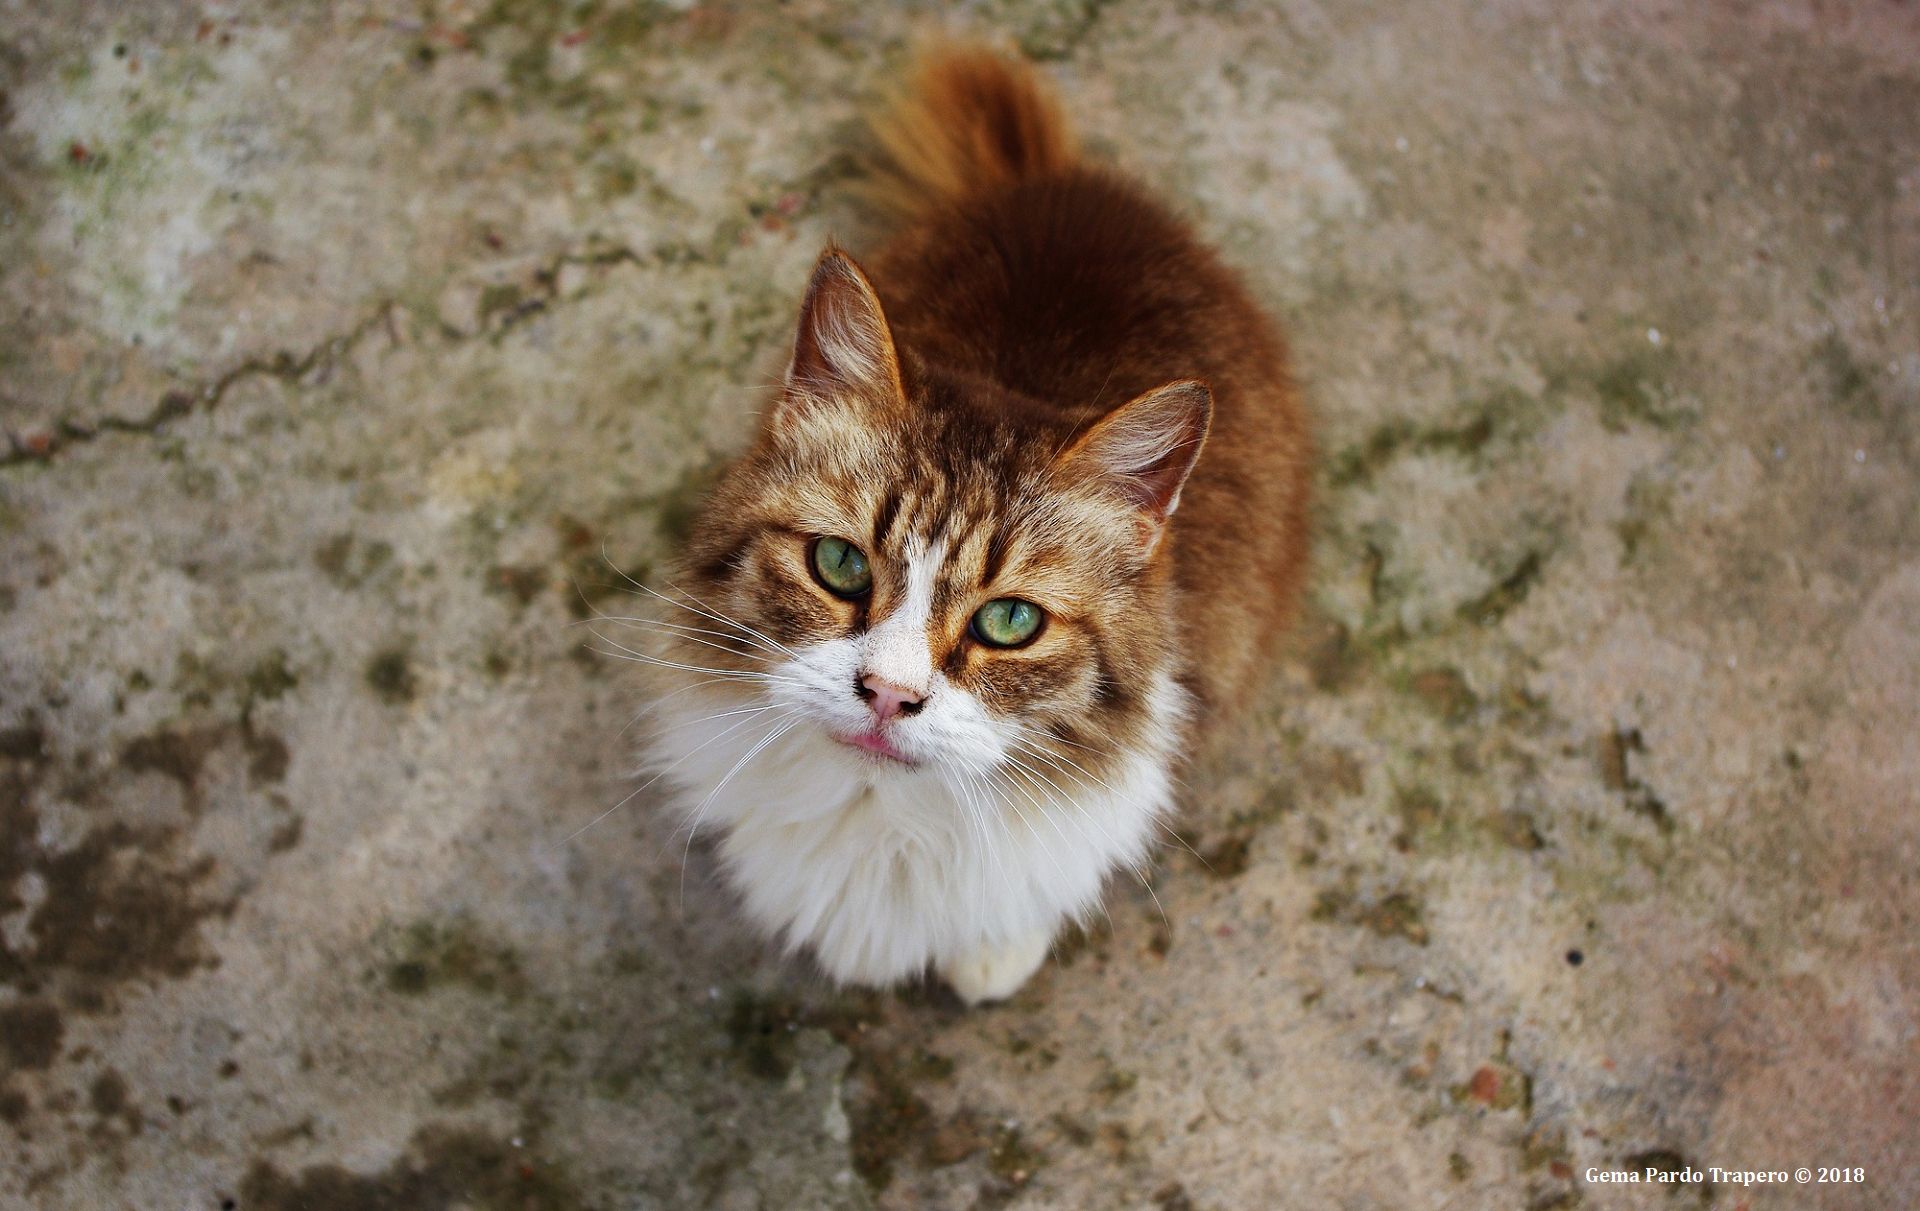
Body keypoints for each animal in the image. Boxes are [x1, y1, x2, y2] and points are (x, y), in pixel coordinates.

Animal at [637, 42, 1313, 1005]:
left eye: (1010, 620)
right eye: (839, 565)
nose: (888, 695)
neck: (878, 812)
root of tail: (1065, 185)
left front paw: (992, 953)